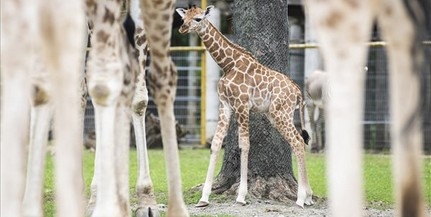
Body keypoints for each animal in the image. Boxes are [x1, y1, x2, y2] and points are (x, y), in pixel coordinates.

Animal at [176, 5, 314, 208]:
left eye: (198, 19)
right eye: (184, 18)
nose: (182, 29)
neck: (227, 64)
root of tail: (297, 91)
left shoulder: (242, 105)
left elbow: (244, 145)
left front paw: (241, 196)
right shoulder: (225, 105)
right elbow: (216, 144)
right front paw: (204, 198)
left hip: (280, 113)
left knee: (297, 141)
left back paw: (301, 198)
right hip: (278, 114)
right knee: (298, 140)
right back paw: (309, 196)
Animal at [304, 0, 428, 217]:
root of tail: (313, 74)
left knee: (318, 123)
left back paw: (318, 147)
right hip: (312, 103)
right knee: (314, 121)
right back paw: (314, 147)